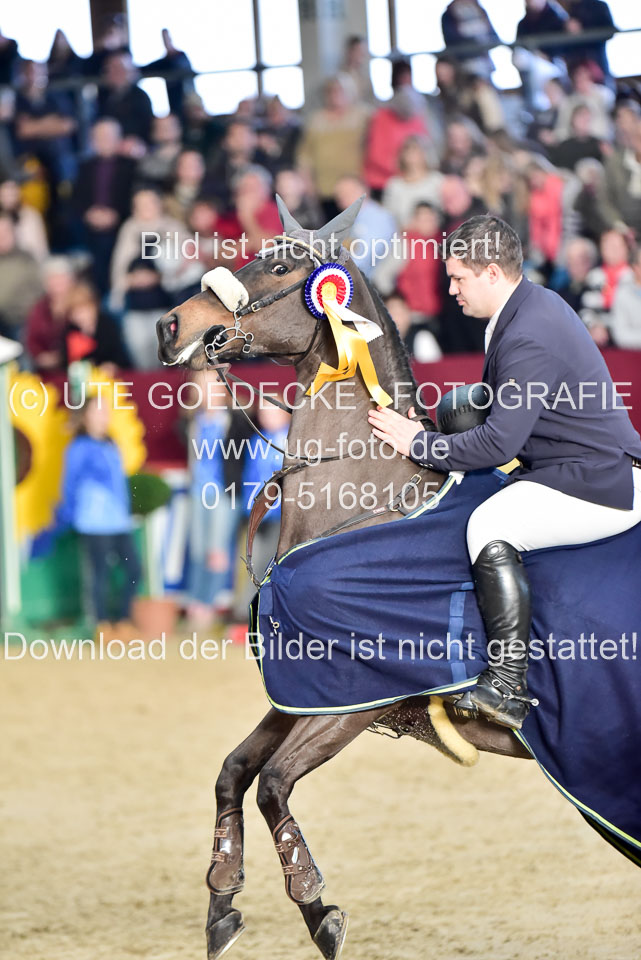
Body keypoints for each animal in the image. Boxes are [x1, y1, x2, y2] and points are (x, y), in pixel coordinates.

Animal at [156, 198, 535, 960]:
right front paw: (221, 900)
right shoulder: (306, 687)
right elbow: (234, 771)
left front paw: (316, 907)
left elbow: (272, 784)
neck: (359, 507)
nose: (171, 324)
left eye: (277, 266)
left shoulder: (356, 702)